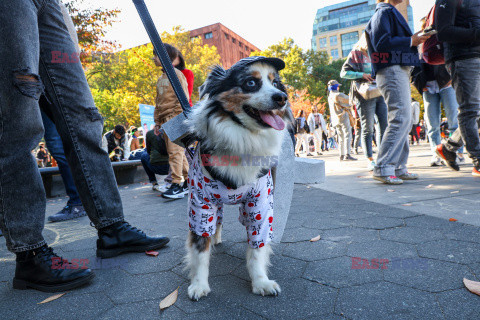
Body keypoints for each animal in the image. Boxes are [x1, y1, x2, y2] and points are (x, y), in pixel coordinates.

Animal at [185, 55, 292, 300]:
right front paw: (199, 284)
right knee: (217, 222)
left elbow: (257, 249)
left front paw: (261, 282)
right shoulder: (201, 203)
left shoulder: (261, 203)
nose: (282, 98)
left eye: (276, 83)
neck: (244, 137)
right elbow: (199, 249)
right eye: (250, 83)